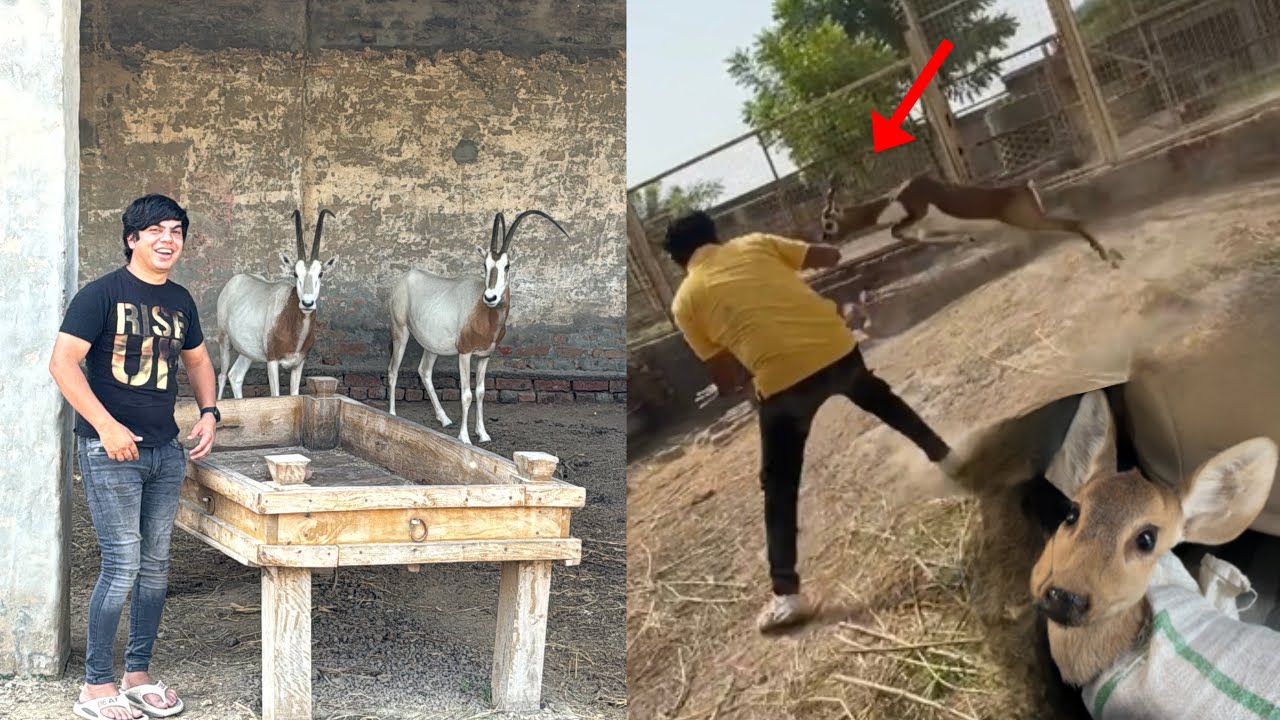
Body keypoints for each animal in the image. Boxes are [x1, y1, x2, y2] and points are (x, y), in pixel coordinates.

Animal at [214, 208, 338, 399]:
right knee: (221, 376)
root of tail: (235, 281)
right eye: (295, 273)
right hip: (224, 340)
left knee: (235, 376)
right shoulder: (272, 361)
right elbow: (276, 398)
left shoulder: (298, 364)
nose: (307, 303)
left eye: (321, 274)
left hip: (247, 352)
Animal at [386, 209, 570, 445]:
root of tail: (406, 277)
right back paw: (392, 414)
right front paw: (465, 438)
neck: (483, 313)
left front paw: (482, 434)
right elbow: (466, 394)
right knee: (393, 370)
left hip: (432, 345)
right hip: (400, 331)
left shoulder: (484, 356)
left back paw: (444, 419)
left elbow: (481, 392)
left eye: (507, 266)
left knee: (424, 371)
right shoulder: (464, 354)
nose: (490, 297)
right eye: (485, 265)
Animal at [820, 173, 1123, 268]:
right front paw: (967, 239)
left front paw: (967, 239)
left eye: (828, 222)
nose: (825, 242)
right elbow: (921, 238)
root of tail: (1024, 186)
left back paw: (1108, 257)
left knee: (1075, 223)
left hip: (1031, 221)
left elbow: (896, 231)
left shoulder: (916, 212)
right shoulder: (925, 228)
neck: (894, 198)